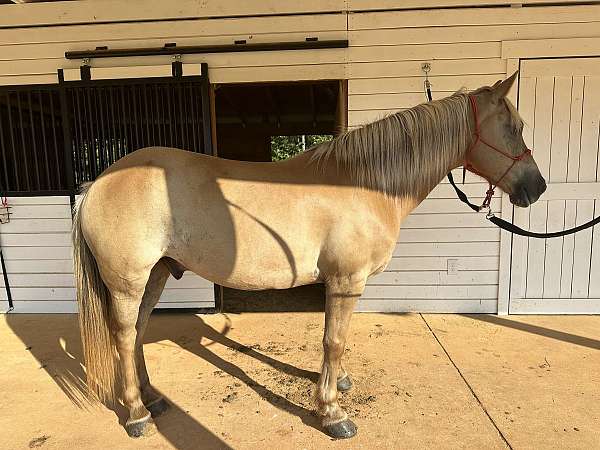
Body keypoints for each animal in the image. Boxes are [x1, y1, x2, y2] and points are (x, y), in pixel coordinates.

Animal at [72, 73, 548, 440]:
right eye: (512, 127)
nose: (537, 187)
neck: (363, 183)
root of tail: (98, 183)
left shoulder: (338, 284)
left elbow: (335, 340)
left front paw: (337, 385)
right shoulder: (347, 281)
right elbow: (334, 340)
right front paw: (333, 413)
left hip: (154, 275)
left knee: (137, 332)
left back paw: (152, 397)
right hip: (128, 282)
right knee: (122, 334)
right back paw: (137, 414)